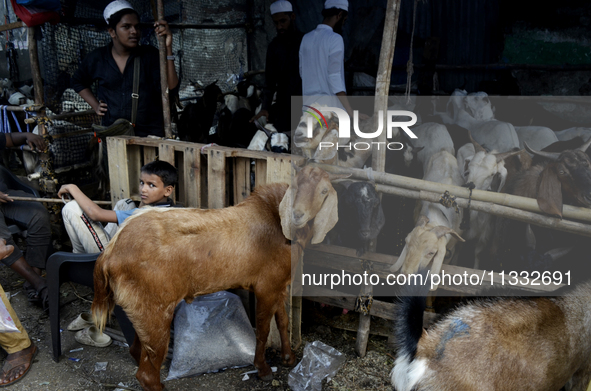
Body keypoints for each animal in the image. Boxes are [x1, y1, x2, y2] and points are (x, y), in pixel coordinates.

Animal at [90, 166, 344, 391]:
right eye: (297, 186)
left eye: (323, 191)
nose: (297, 215)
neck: (279, 223)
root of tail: (110, 253)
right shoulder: (266, 287)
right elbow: (262, 330)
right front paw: (262, 369)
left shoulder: (279, 284)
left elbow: (282, 321)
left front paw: (289, 358)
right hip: (156, 307)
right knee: (145, 373)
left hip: (141, 306)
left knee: (137, 350)